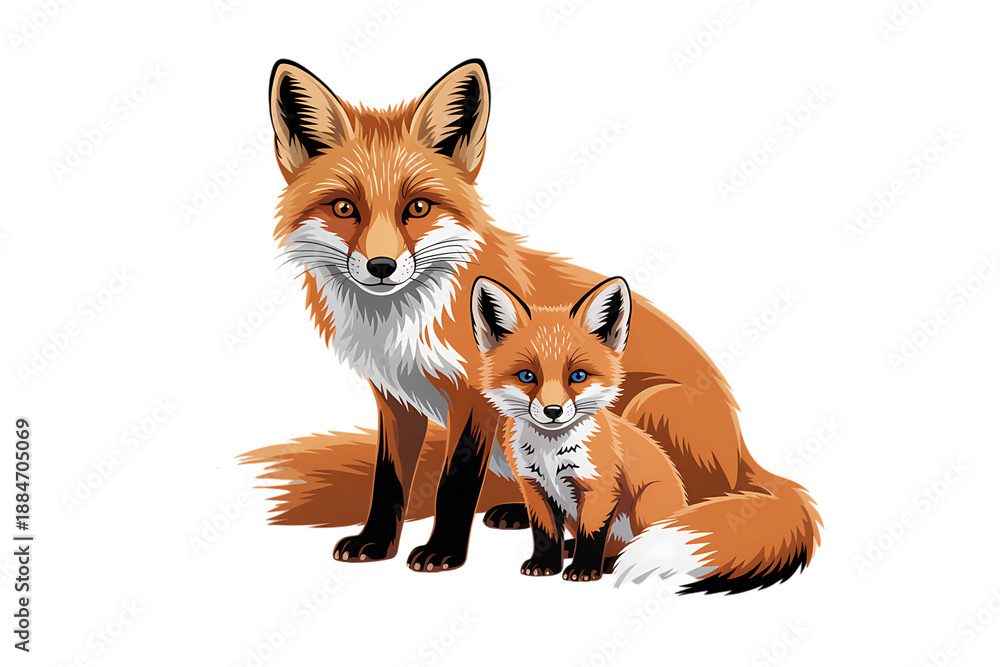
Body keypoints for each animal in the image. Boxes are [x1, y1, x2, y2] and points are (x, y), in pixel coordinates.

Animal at [242, 58, 822, 591]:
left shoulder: (472, 399)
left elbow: (454, 483)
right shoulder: (395, 398)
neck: (406, 320)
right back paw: (524, 516)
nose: (381, 267)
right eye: (344, 208)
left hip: (648, 409)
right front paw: (376, 543)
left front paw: (443, 553)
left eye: (418, 207)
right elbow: (390, 482)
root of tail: (746, 456)